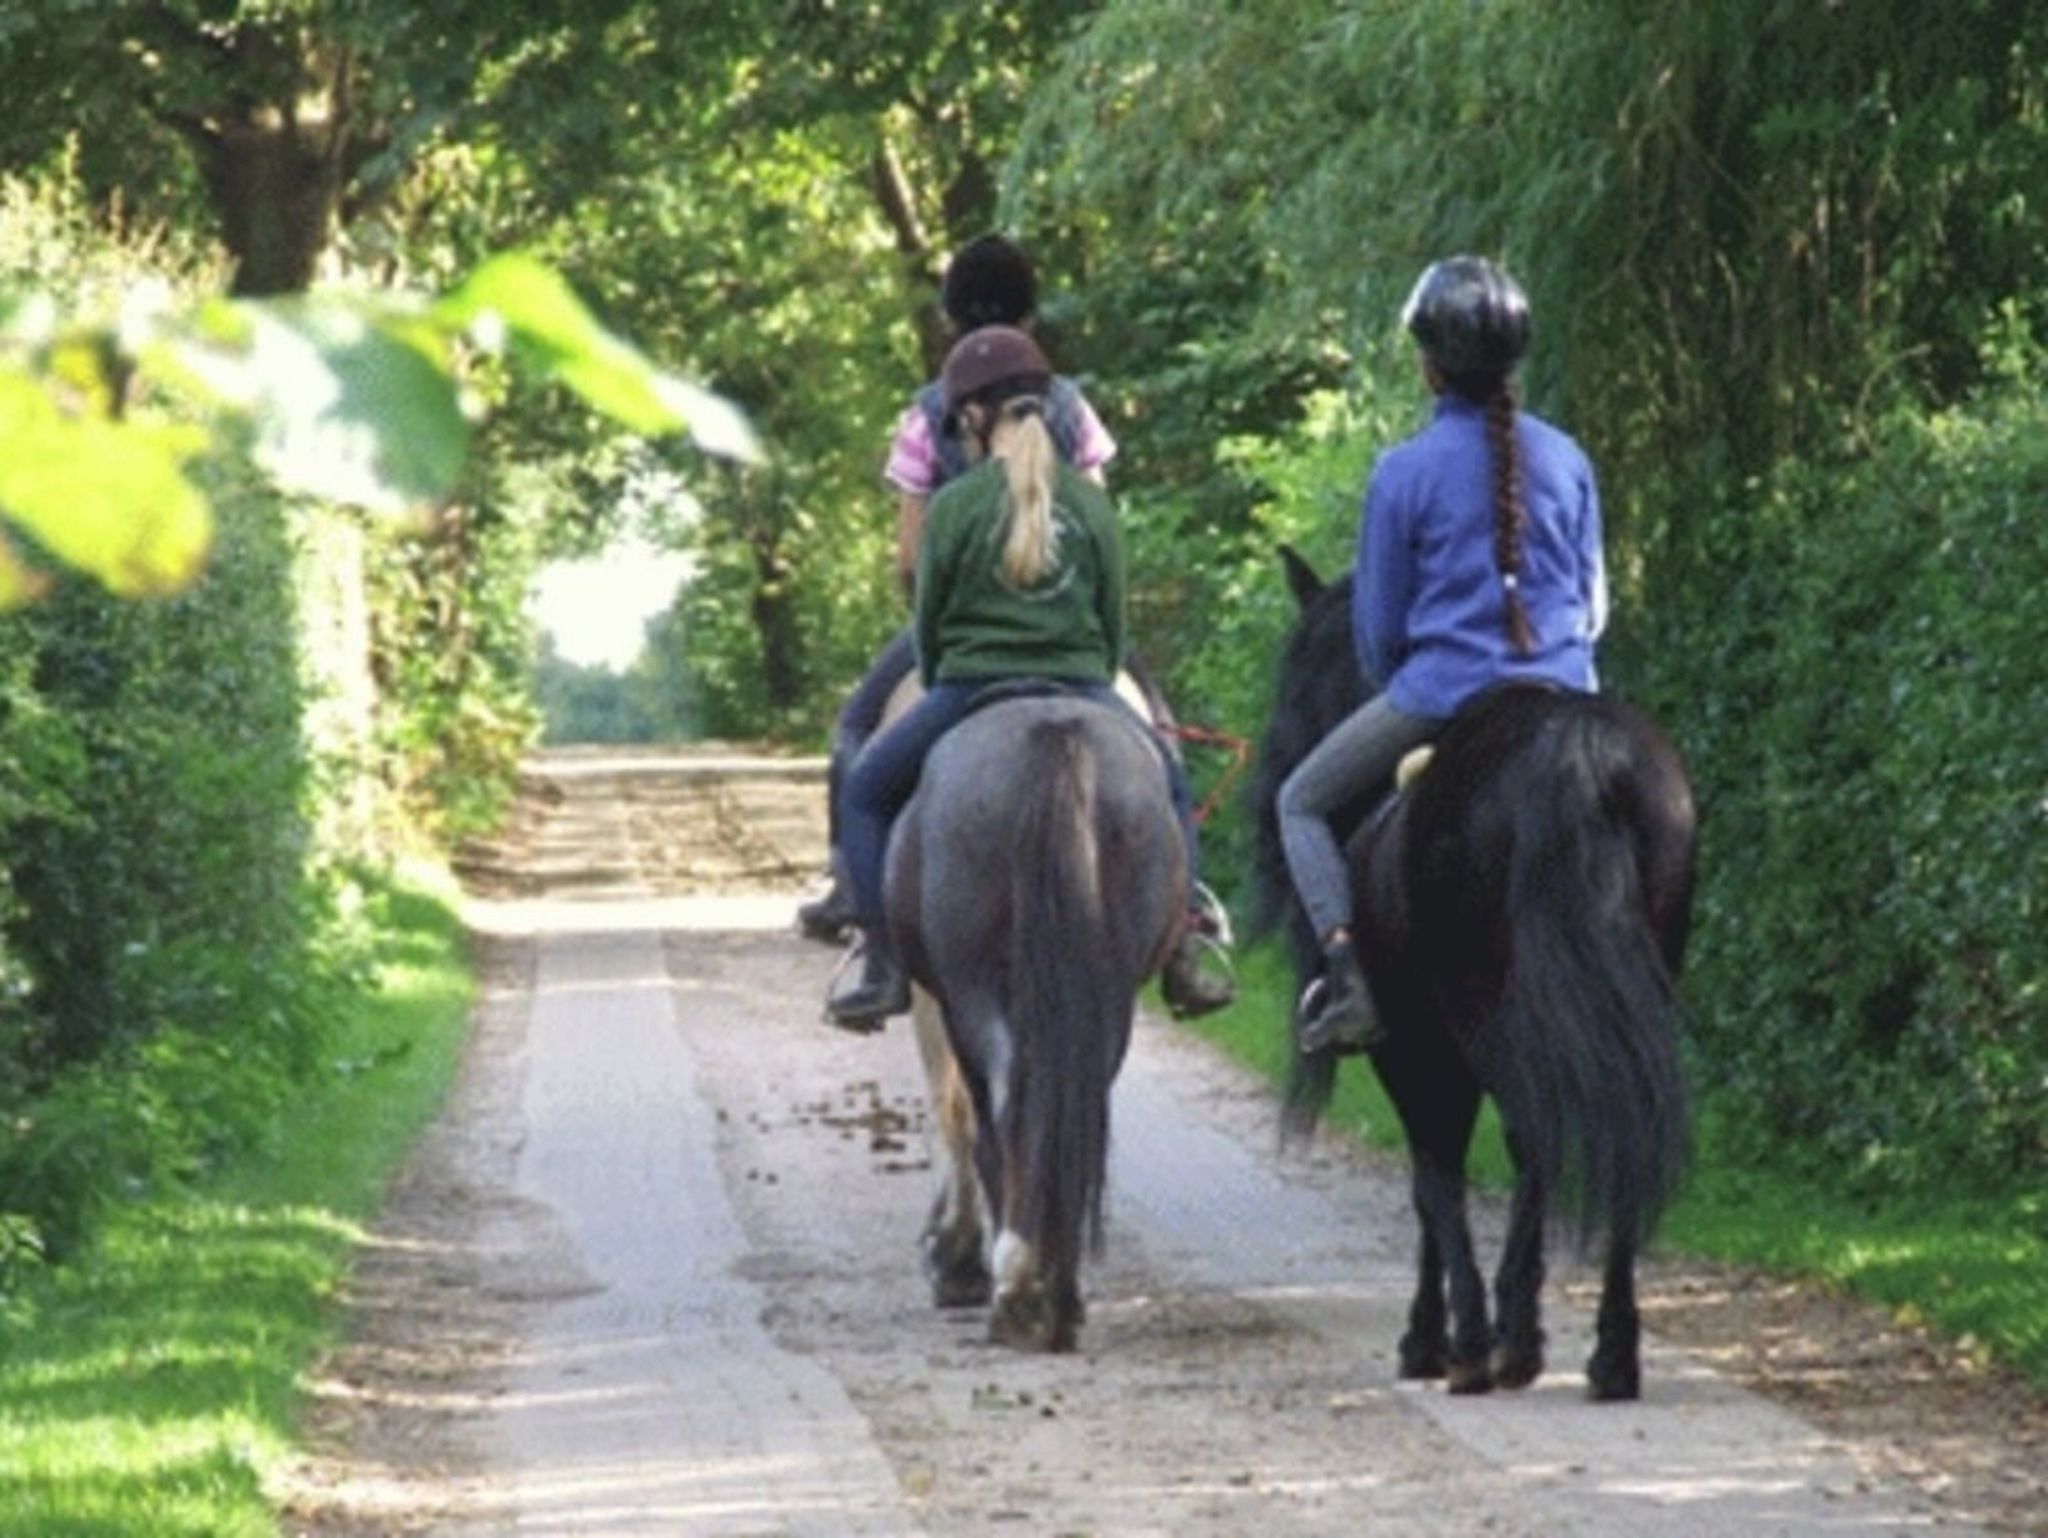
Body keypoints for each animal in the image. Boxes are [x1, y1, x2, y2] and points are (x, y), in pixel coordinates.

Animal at [884, 684, 1187, 1343]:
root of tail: (1056, 740)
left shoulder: (936, 997)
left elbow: (955, 1112)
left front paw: (956, 1261)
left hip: (973, 987)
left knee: (1008, 1107)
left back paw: (1020, 1290)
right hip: (1109, 991)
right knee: (1075, 1102)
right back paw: (1059, 1295)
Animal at [1245, 548, 1695, 1400]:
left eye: (1294, 670)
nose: (1267, 786)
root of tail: (1578, 753)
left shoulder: (1413, 1048)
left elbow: (1434, 1179)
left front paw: (1443, 1339)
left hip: (1482, 1015)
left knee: (1526, 1140)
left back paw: (1509, 1345)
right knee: (1608, 1133)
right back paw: (1608, 1354)